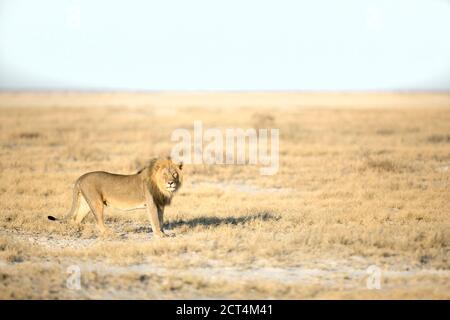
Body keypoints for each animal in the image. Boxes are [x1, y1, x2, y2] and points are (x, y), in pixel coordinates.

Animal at [48, 158, 183, 238]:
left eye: (174, 174)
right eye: (164, 175)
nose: (171, 183)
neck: (162, 189)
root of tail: (80, 177)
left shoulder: (160, 205)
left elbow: (161, 220)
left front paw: (163, 232)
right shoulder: (151, 204)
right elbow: (155, 220)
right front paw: (159, 234)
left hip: (86, 204)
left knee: (75, 219)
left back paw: (76, 232)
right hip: (96, 203)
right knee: (98, 222)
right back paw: (111, 234)